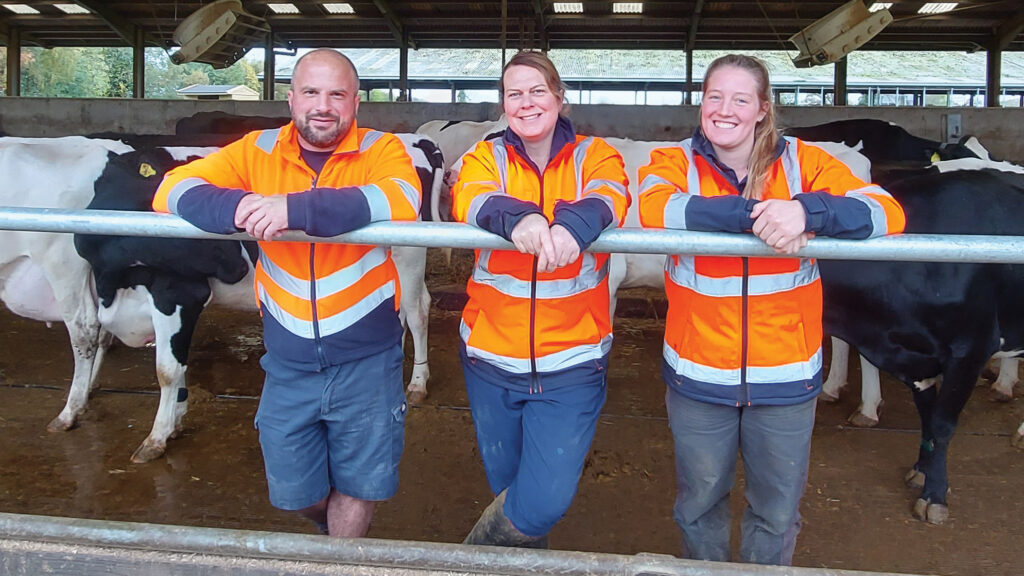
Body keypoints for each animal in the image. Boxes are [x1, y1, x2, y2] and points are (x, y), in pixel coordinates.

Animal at [819, 163, 1024, 522]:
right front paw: (922, 471)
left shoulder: (971, 348)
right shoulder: (913, 359)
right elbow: (927, 419)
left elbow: (942, 424)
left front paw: (935, 496)